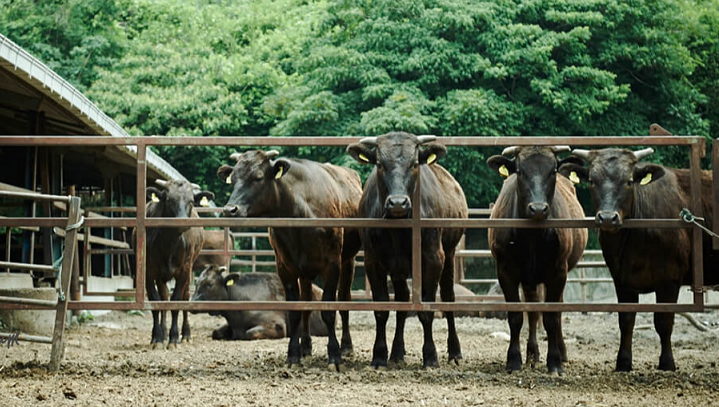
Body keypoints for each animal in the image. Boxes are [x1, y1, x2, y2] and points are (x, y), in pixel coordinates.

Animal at [190, 264, 328, 342]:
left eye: (210, 284)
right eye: (197, 283)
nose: (192, 302)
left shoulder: (277, 325)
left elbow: (249, 333)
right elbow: (216, 332)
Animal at [214, 151, 360, 372]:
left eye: (258, 177)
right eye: (233, 179)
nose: (230, 209)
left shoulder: (332, 264)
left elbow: (329, 311)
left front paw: (334, 355)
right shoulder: (285, 268)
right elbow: (294, 311)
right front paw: (293, 354)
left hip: (347, 261)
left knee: (343, 299)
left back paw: (346, 347)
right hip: (306, 272)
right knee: (307, 302)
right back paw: (306, 346)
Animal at [348, 131, 470, 370]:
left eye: (414, 164)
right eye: (379, 164)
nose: (397, 203)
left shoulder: (433, 258)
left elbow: (427, 309)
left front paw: (430, 356)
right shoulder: (373, 262)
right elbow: (381, 309)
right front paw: (379, 356)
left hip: (450, 253)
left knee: (448, 297)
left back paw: (455, 352)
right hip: (398, 269)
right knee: (403, 299)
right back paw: (397, 352)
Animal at [486, 147, 588, 372]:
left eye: (553, 171)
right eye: (520, 171)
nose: (539, 208)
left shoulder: (558, 272)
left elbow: (551, 318)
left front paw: (555, 361)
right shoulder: (506, 271)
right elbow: (516, 316)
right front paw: (514, 360)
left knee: (556, 312)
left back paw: (561, 352)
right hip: (529, 279)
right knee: (532, 313)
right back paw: (532, 354)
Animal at [564, 148, 719, 372]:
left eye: (629, 181)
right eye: (592, 181)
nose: (608, 218)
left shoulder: (669, 281)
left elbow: (664, 321)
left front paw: (667, 363)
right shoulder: (622, 280)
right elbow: (626, 320)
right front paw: (623, 362)